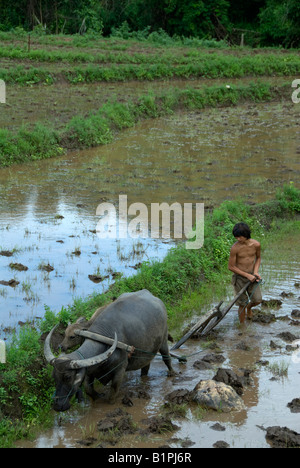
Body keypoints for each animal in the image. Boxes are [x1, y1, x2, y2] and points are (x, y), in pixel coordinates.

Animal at [43, 290, 175, 412]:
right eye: (54, 377)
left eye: (68, 377)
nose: (58, 406)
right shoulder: (90, 371)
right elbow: (88, 389)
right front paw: (97, 396)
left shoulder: (120, 370)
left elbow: (112, 395)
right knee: (145, 367)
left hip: (163, 340)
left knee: (166, 358)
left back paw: (172, 373)